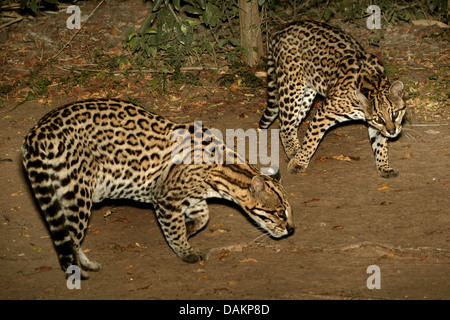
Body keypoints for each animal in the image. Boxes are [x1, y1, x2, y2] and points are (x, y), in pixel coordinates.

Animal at [258, 20, 406, 178]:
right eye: (379, 119)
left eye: (395, 114)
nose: (392, 132)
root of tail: (280, 29)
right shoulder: (324, 111)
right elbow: (311, 139)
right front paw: (298, 163)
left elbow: (380, 144)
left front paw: (384, 167)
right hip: (291, 86)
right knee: (285, 126)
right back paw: (294, 153)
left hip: (308, 93)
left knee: (294, 122)